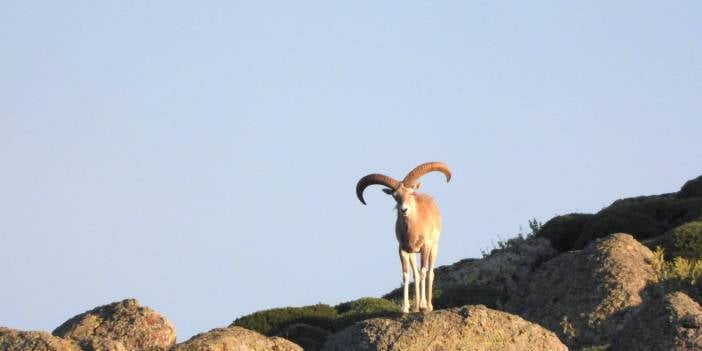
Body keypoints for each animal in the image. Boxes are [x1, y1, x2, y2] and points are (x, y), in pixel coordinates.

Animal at [358, 162, 452, 314]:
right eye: (395, 196)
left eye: (411, 193)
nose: (404, 210)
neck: (414, 230)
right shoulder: (403, 249)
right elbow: (406, 275)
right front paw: (405, 308)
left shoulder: (425, 247)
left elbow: (424, 272)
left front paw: (424, 306)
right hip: (413, 254)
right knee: (416, 275)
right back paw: (416, 307)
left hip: (434, 248)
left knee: (430, 273)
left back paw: (428, 306)